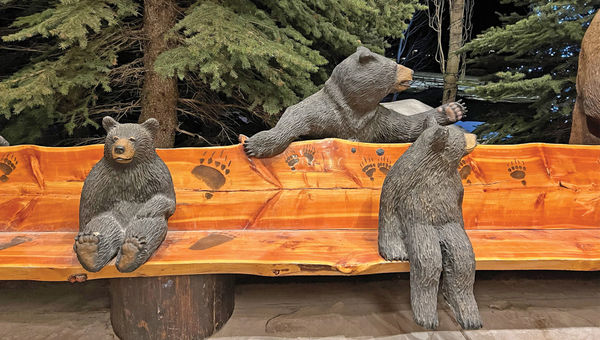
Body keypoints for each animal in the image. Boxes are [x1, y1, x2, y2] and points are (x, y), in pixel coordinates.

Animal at [73, 117, 176, 274]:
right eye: (115, 138)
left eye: (132, 138)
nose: (119, 149)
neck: (127, 167)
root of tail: (123, 231)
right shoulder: (100, 178)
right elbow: (89, 207)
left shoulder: (156, 175)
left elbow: (167, 199)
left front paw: (148, 209)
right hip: (110, 219)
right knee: (102, 225)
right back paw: (89, 246)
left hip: (145, 225)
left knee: (148, 226)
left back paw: (132, 248)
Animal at [241, 45, 466, 159]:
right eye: (394, 65)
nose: (411, 71)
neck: (356, 108)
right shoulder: (329, 113)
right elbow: (295, 116)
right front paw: (254, 144)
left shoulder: (375, 120)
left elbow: (406, 127)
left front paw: (453, 110)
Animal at [380, 116, 482, 330]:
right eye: (460, 134)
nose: (476, 136)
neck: (438, 167)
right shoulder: (402, 182)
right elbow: (389, 211)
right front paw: (396, 252)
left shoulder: (455, 189)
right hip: (420, 229)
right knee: (427, 259)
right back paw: (426, 316)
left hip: (449, 230)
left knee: (462, 258)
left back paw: (467, 313)